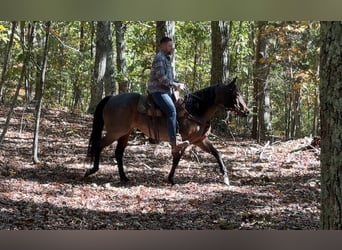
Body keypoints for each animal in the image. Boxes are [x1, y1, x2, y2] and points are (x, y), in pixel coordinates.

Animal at [83, 78, 248, 186]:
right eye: (236, 94)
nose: (246, 111)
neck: (195, 110)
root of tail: (111, 98)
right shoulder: (185, 141)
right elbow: (177, 159)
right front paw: (171, 179)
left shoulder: (199, 140)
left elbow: (217, 153)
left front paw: (225, 177)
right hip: (115, 132)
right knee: (98, 145)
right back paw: (92, 170)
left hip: (125, 133)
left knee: (118, 152)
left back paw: (124, 177)